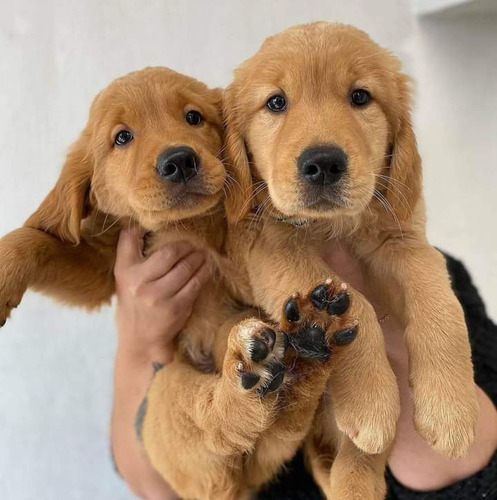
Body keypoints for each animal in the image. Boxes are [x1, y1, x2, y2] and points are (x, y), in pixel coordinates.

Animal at [224, 22, 476, 500]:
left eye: (360, 97)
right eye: (276, 102)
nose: (322, 163)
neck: (335, 226)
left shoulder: (404, 237)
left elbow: (442, 304)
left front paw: (451, 407)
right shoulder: (271, 248)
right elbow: (356, 301)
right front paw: (371, 399)